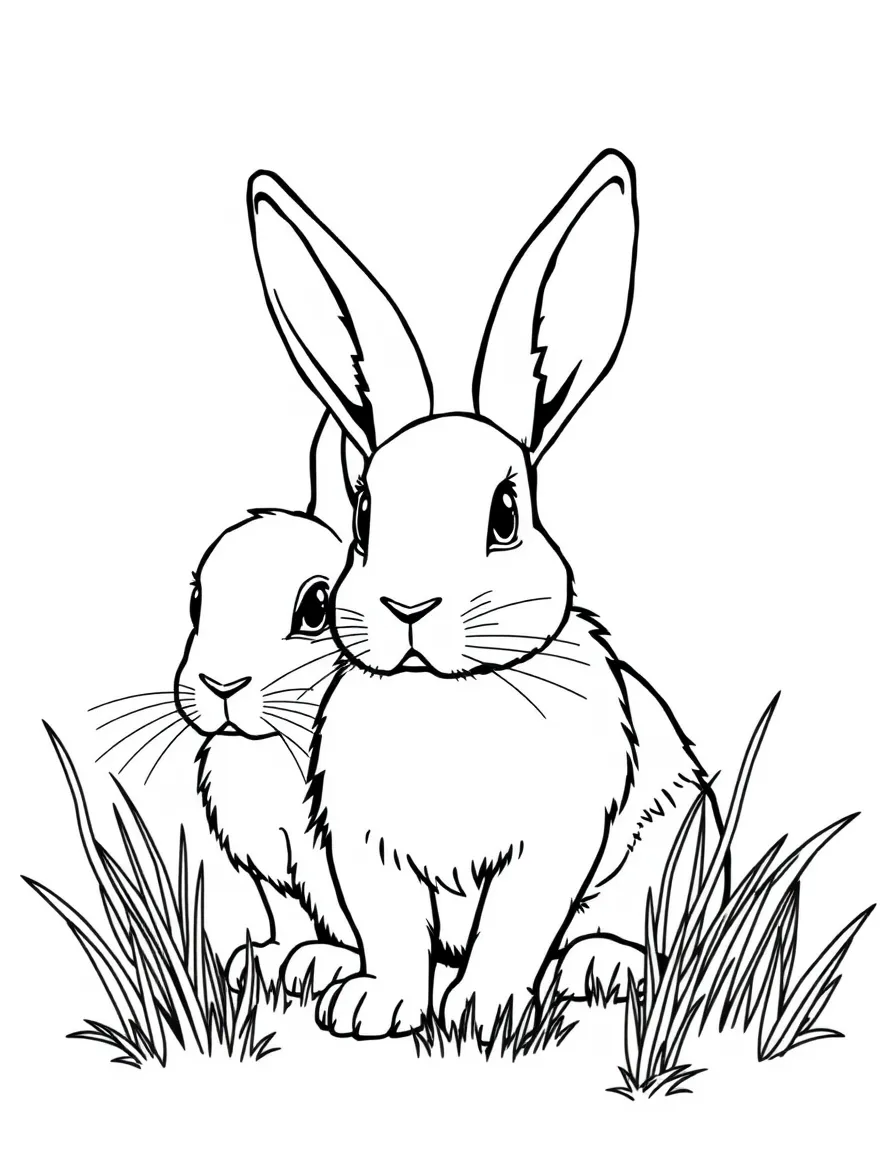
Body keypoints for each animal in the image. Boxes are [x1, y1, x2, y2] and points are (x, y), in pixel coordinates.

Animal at [174, 412, 362, 994]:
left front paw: (322, 965)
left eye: (317, 608)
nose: (221, 686)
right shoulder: (272, 868)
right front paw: (259, 961)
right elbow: (287, 914)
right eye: (196, 601)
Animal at [246, 152, 725, 1038]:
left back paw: (602, 966)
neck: (447, 697)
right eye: (364, 515)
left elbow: (514, 926)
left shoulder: (550, 846)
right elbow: (393, 930)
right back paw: (318, 967)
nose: (408, 609)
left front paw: (484, 1012)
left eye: (506, 513)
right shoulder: (367, 849)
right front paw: (375, 1007)